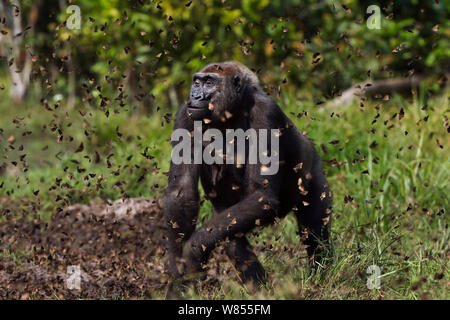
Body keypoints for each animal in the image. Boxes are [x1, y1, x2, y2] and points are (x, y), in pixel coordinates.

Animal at [163, 60, 330, 290]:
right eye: (196, 82)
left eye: (209, 82)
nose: (195, 96)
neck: (234, 109)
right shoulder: (185, 114)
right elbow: (182, 192)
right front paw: (177, 269)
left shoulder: (266, 111)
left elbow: (261, 195)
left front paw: (193, 251)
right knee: (230, 233)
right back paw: (261, 289)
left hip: (313, 175)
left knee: (315, 227)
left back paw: (322, 274)